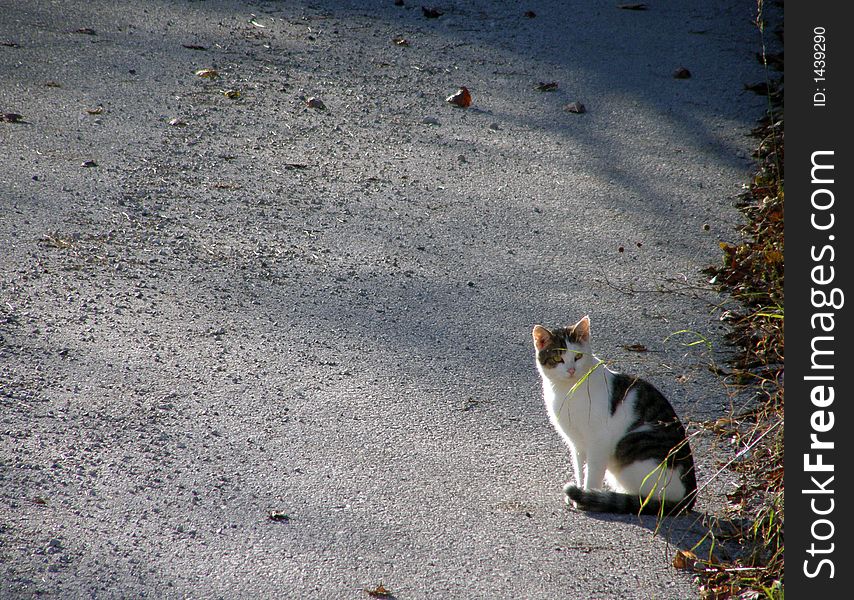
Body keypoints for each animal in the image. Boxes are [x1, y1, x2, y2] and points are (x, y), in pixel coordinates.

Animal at [536, 314, 696, 516]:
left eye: (578, 356)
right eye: (558, 358)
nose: (571, 370)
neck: (568, 390)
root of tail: (689, 496)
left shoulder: (599, 441)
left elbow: (592, 472)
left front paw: (585, 496)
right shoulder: (576, 443)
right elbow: (580, 469)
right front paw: (578, 493)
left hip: (631, 446)